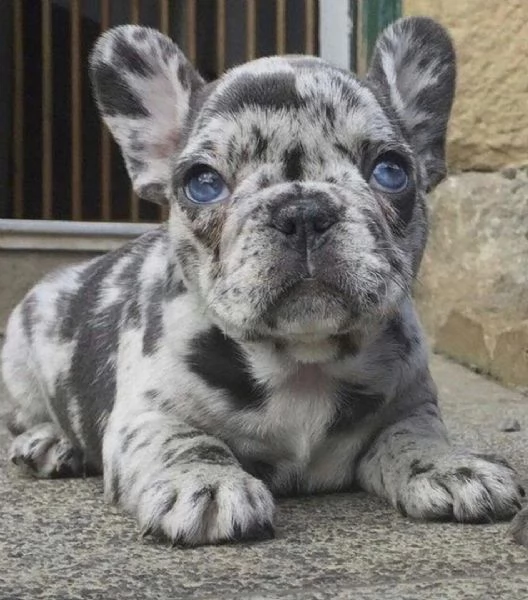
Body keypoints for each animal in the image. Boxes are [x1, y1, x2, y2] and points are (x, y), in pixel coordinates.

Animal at [3, 18, 524, 548]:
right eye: (203, 182)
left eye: (391, 171)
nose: (303, 211)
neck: (304, 361)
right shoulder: (146, 415)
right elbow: (183, 440)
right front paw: (206, 483)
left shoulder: (411, 404)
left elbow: (414, 436)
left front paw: (450, 466)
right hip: (20, 358)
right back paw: (51, 442)